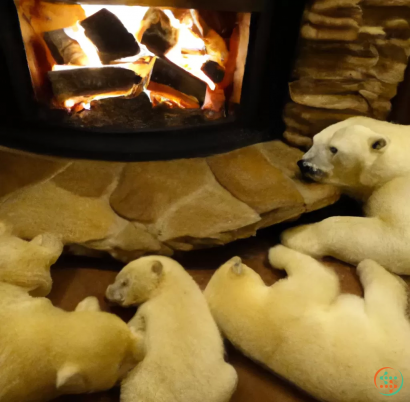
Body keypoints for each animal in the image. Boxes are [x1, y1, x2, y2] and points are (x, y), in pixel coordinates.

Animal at [284, 114, 410, 274]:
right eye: (314, 140)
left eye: (333, 149)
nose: (304, 164)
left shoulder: (400, 187)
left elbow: (399, 237)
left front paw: (295, 233)